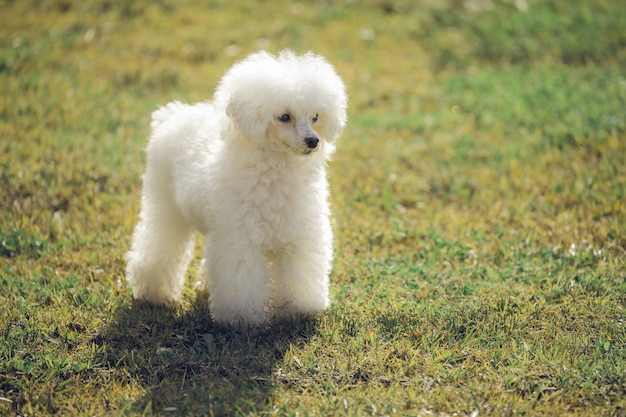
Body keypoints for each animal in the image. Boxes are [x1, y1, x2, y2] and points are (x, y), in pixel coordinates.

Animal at [123, 49, 344, 328]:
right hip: (164, 204)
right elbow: (242, 280)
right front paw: (241, 320)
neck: (277, 172)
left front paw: (300, 311)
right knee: (158, 245)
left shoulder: (299, 236)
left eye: (315, 117)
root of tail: (173, 115)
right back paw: (154, 294)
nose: (313, 141)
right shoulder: (241, 241)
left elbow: (300, 273)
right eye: (284, 117)